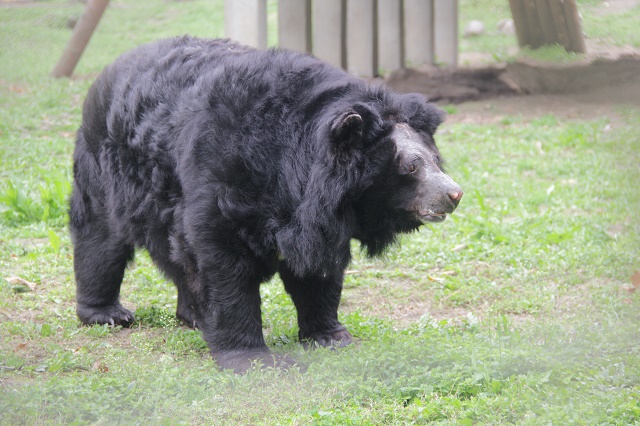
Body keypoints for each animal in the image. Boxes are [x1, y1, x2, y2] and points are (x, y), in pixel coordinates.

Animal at [69, 36, 460, 372]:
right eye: (411, 166)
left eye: (436, 159)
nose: (454, 194)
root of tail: (111, 69)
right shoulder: (221, 178)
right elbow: (221, 264)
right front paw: (250, 357)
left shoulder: (314, 218)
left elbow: (317, 270)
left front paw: (332, 336)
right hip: (104, 170)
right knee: (100, 238)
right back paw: (108, 314)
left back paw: (191, 316)